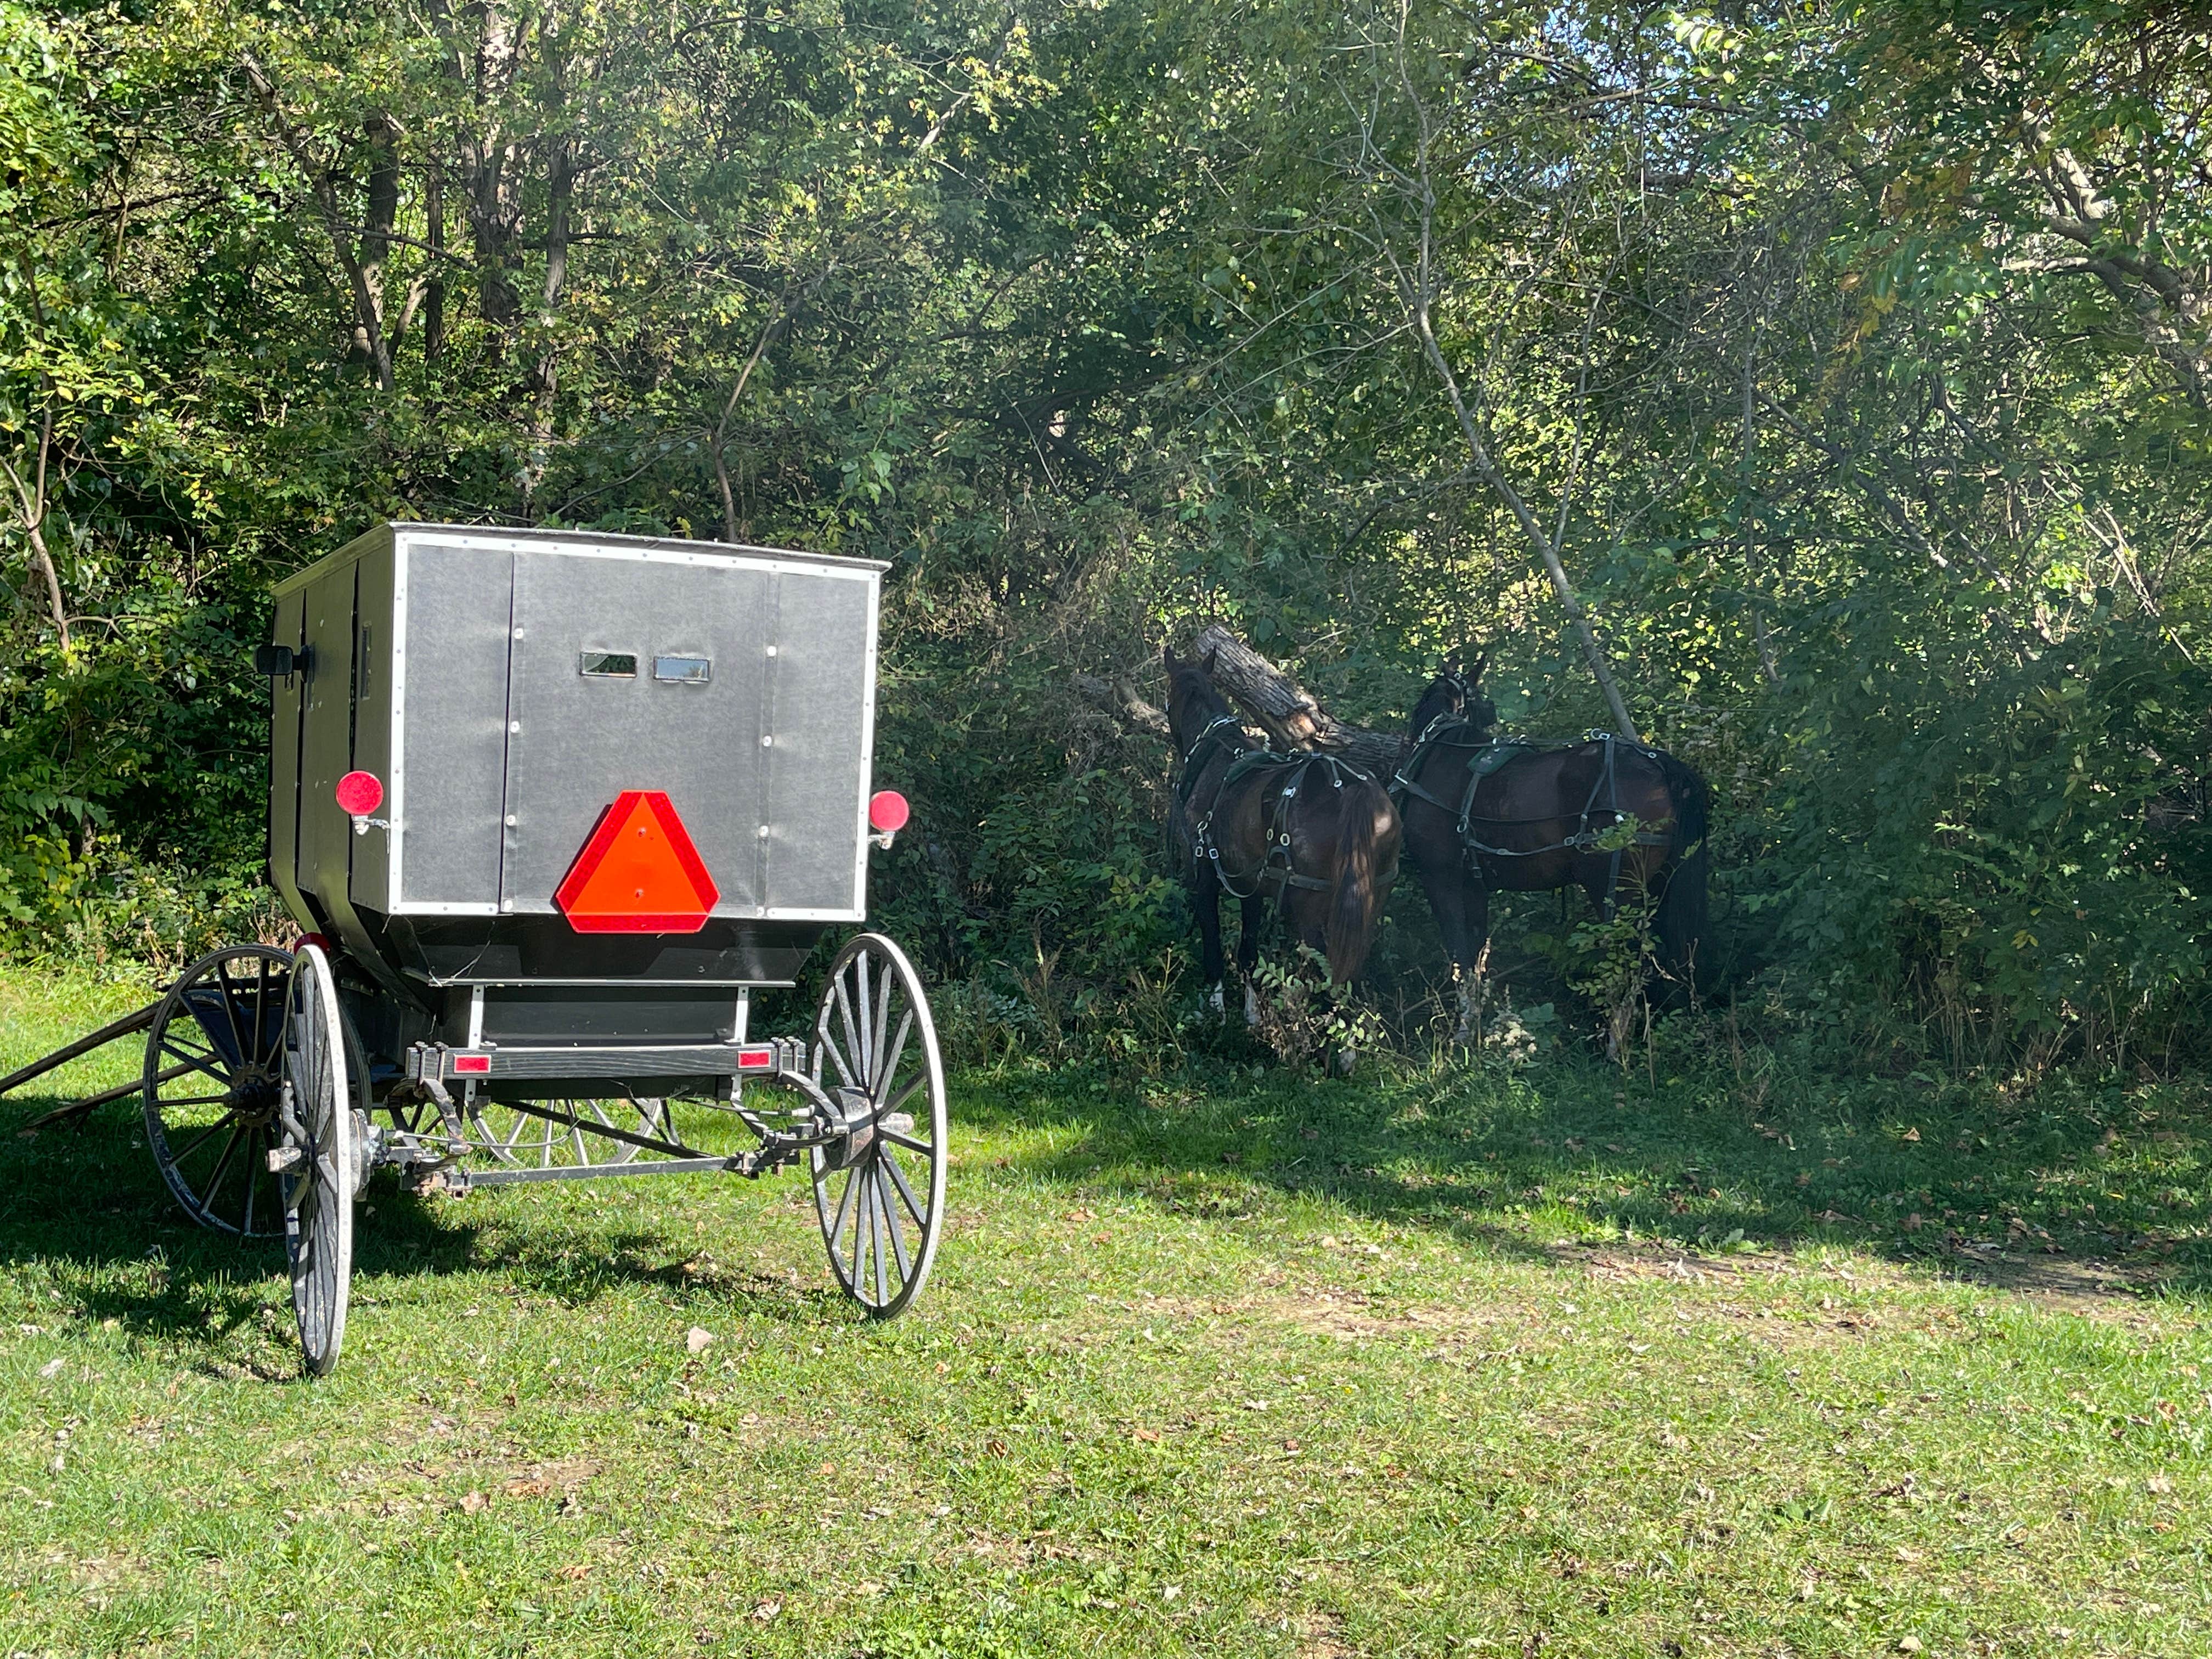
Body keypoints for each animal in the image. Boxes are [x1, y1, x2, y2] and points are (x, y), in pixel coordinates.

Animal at [1162, 644, 1401, 1009]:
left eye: (1168, 700)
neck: (1215, 752)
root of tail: (1355, 790)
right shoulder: (1248, 884)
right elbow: (1248, 952)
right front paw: (1251, 1012)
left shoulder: (1205, 874)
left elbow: (1213, 944)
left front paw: (1217, 1008)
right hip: (1368, 908)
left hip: (1312, 916)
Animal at [1392, 652, 1709, 1040]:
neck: (1440, 751)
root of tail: (1661, 765)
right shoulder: (1474, 885)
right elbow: (1477, 958)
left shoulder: (1441, 878)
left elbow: (1461, 957)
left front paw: (1464, 1031)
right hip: (1657, 886)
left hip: (1614, 890)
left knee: (1629, 966)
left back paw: (1615, 1043)